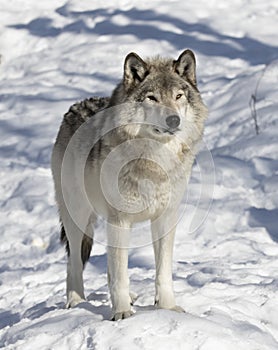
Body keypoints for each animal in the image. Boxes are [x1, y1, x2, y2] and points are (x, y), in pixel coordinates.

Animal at [51, 49, 206, 320]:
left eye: (178, 96)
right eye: (152, 98)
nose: (173, 120)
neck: (154, 161)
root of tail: (74, 107)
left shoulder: (165, 217)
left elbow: (162, 272)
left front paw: (168, 307)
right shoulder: (120, 219)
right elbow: (120, 274)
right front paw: (122, 312)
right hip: (78, 216)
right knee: (74, 262)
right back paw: (76, 301)